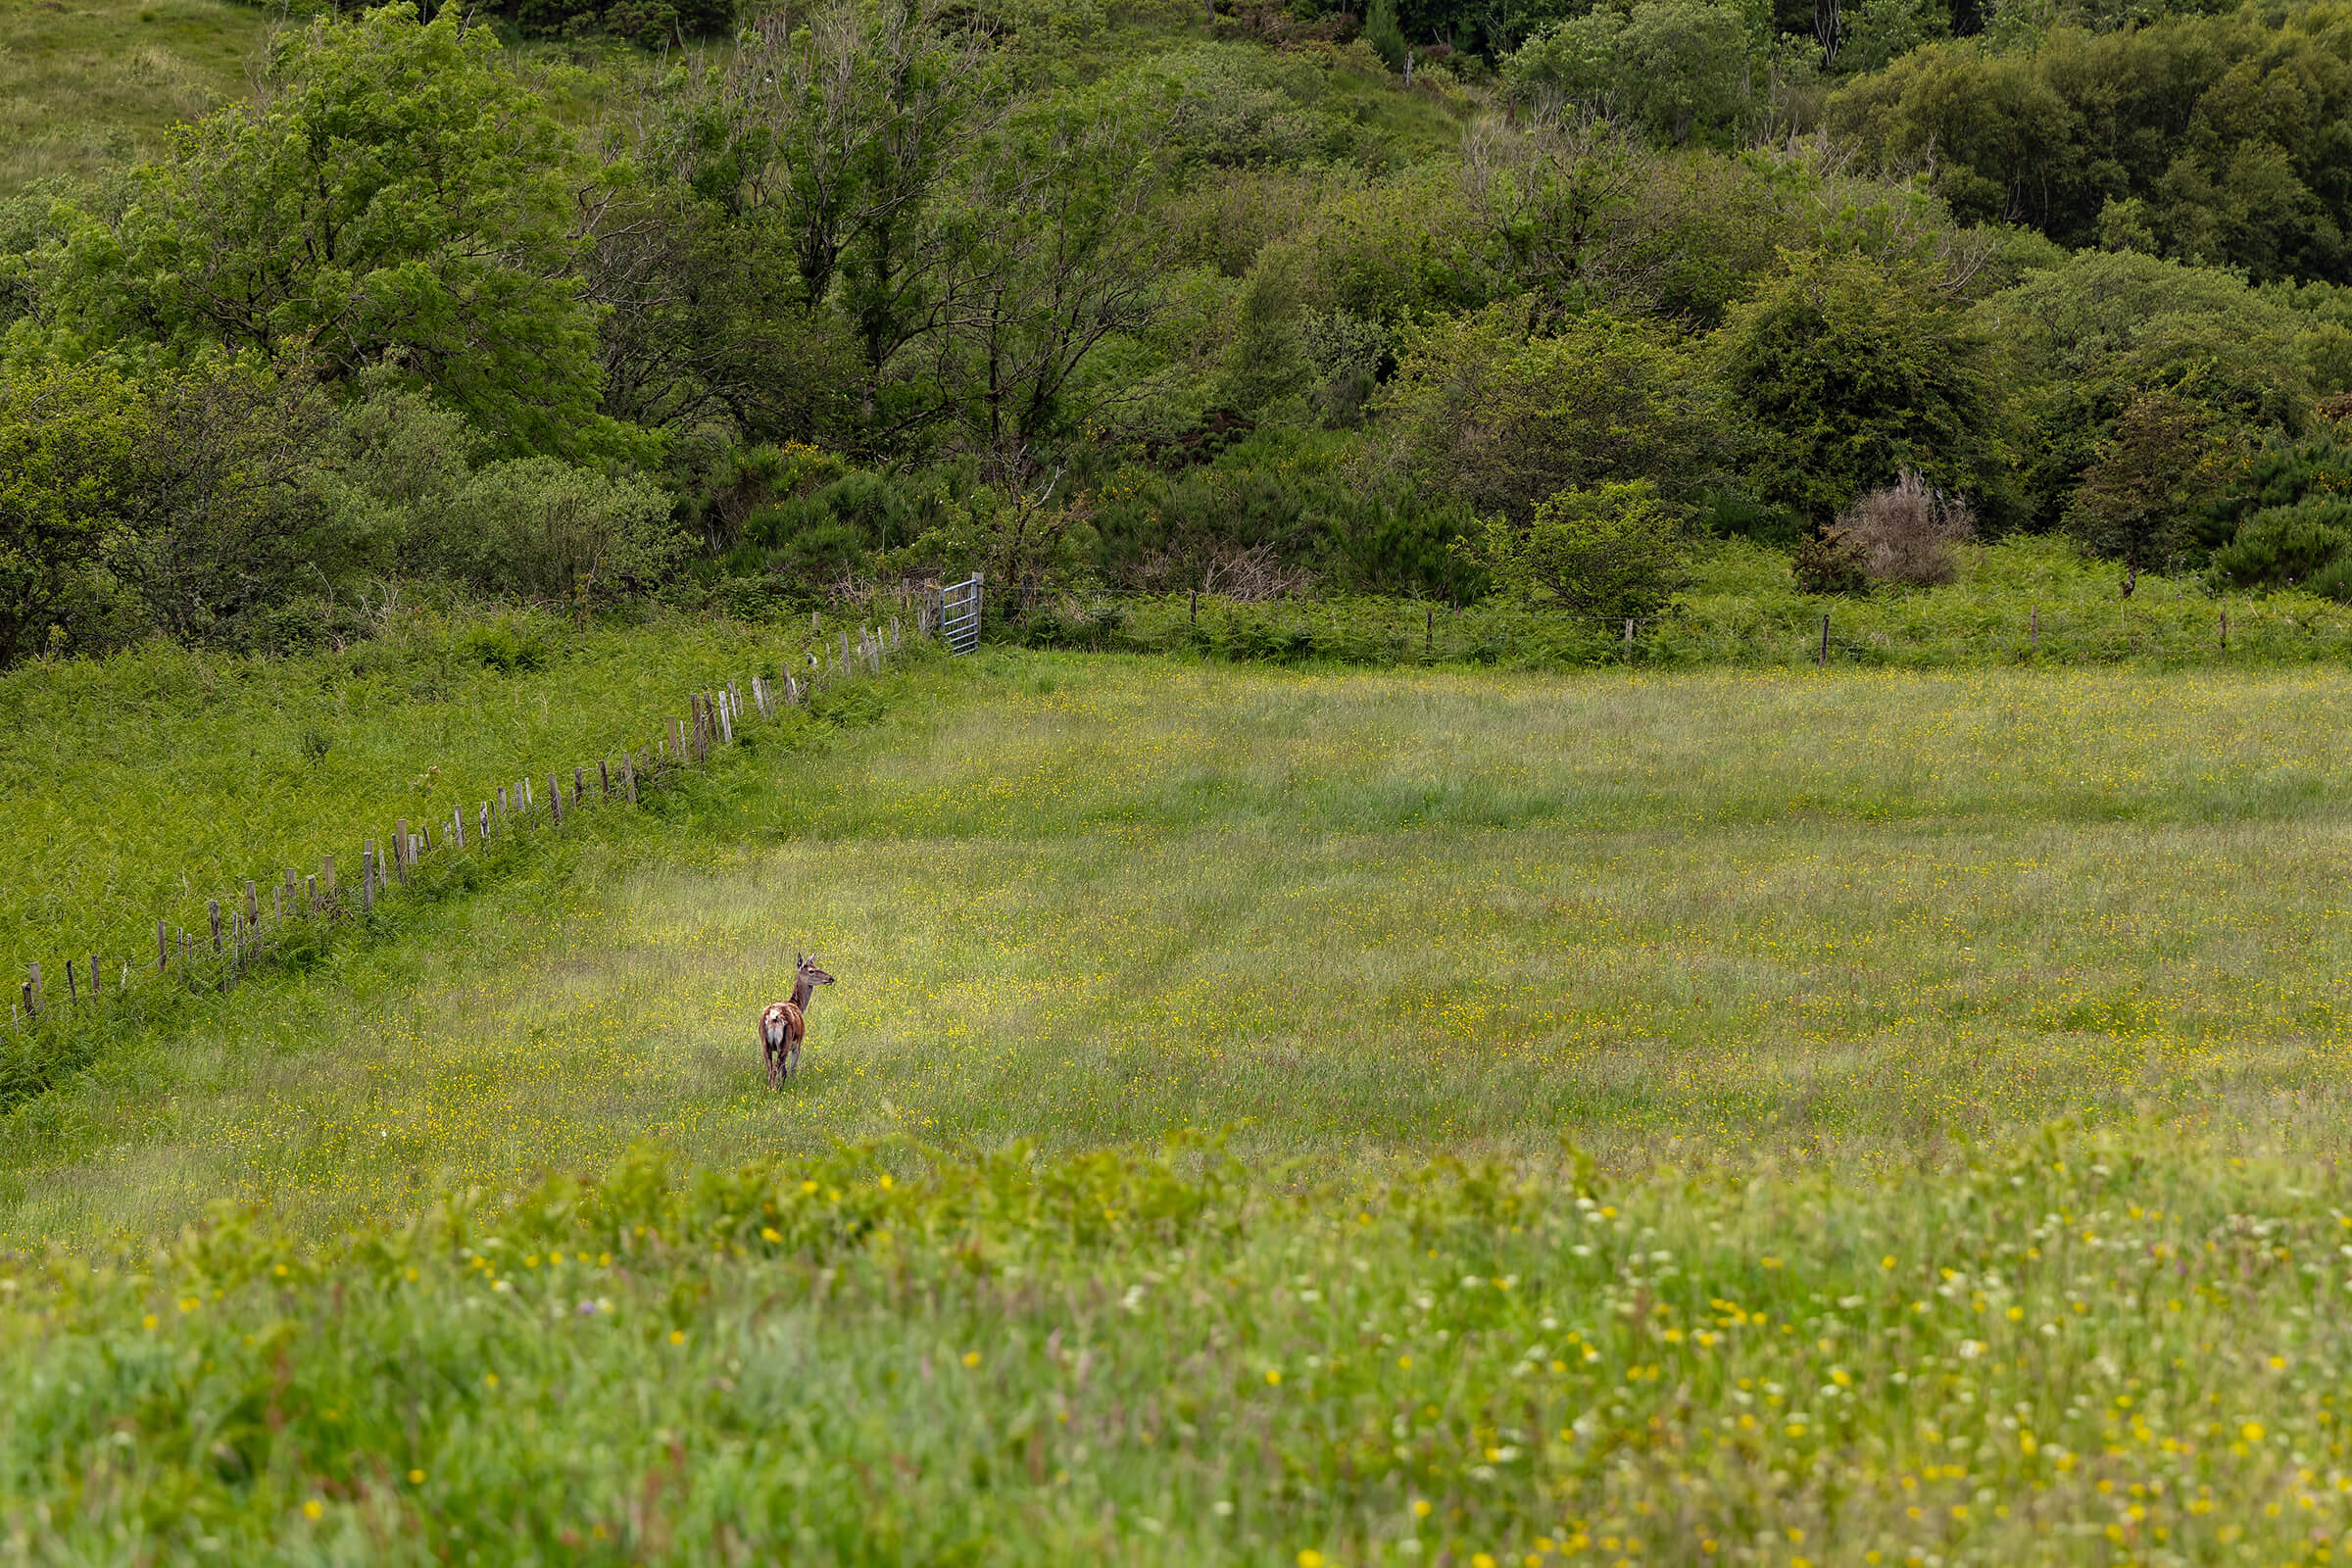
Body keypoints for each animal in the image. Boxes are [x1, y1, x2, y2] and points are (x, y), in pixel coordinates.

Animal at [759, 952, 836, 1088]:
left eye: (817, 966)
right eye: (811, 970)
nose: (831, 978)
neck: (797, 1005)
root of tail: (773, 1016)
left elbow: (784, 1072)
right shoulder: (797, 1044)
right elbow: (792, 1070)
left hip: (765, 1044)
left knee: (770, 1070)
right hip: (785, 1043)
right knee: (775, 1070)